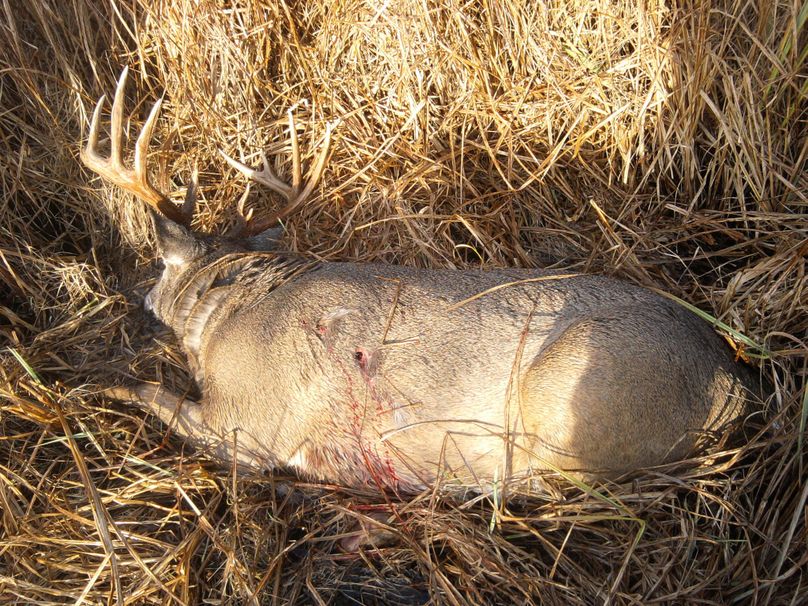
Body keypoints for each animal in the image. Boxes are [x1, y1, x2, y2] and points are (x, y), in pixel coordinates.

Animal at [83, 69, 762, 494]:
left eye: (160, 265)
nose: (142, 295)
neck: (230, 307)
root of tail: (730, 384)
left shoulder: (252, 421)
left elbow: (147, 391)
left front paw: (94, 385)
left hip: (564, 394)